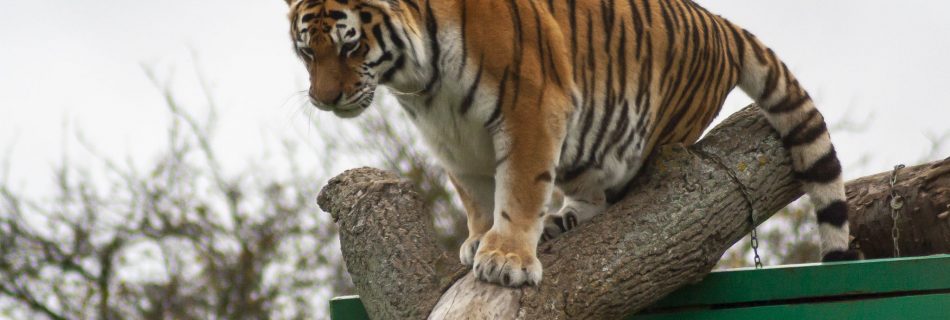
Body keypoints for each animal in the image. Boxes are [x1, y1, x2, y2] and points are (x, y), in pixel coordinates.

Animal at [284, 0, 864, 286]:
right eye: (306, 52)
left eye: (350, 44)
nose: (324, 99)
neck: (418, 79)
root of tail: (720, 22)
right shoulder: (450, 135)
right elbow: (475, 195)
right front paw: (479, 240)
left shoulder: (533, 108)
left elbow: (518, 189)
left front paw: (506, 260)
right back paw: (560, 221)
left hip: (643, 129)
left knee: (618, 196)